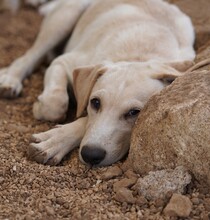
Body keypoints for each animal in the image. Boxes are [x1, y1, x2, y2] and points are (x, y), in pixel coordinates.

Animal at [0, 0, 196, 165]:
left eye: (134, 113)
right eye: (95, 103)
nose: (90, 155)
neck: (138, 55)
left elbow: (84, 121)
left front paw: (55, 141)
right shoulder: (65, 62)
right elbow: (55, 104)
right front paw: (41, 108)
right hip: (64, 18)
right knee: (29, 56)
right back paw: (11, 78)